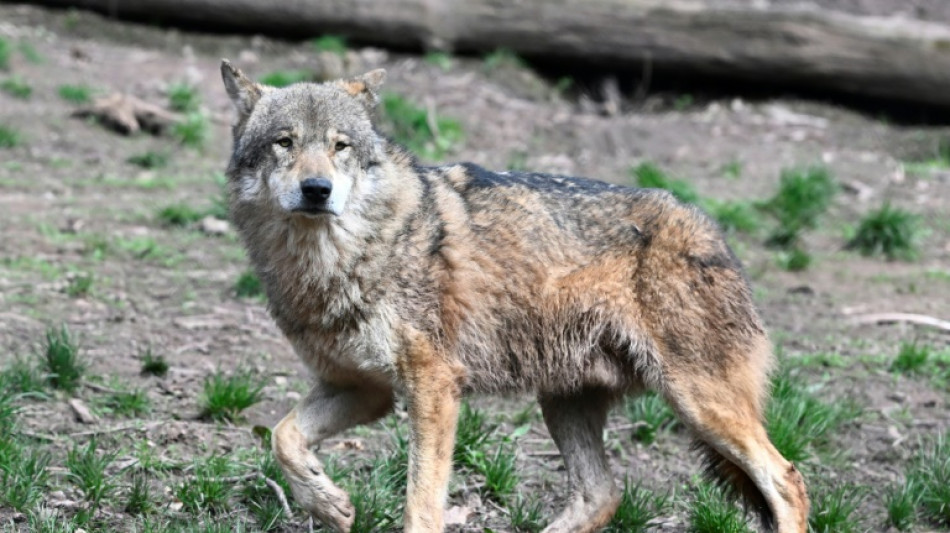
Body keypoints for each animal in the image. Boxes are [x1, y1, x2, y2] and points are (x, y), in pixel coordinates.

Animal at [219, 60, 809, 533]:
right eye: (284, 142)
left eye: (339, 146)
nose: (317, 189)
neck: (337, 260)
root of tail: (713, 232)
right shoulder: (363, 389)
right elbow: (283, 437)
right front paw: (328, 503)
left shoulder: (433, 387)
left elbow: (421, 501)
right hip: (565, 402)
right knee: (602, 494)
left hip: (697, 403)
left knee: (786, 480)